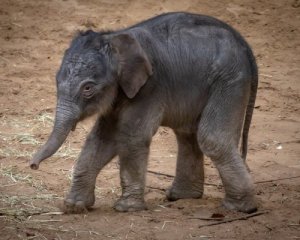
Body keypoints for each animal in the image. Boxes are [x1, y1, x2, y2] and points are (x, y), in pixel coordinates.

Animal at [31, 11, 258, 214]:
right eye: (57, 80)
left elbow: (132, 136)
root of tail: (245, 45)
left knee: (211, 138)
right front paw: (74, 207)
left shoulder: (150, 87)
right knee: (187, 134)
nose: (33, 165)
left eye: (87, 88)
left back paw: (239, 208)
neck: (116, 37)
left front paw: (126, 209)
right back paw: (181, 197)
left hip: (230, 80)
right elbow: (102, 138)